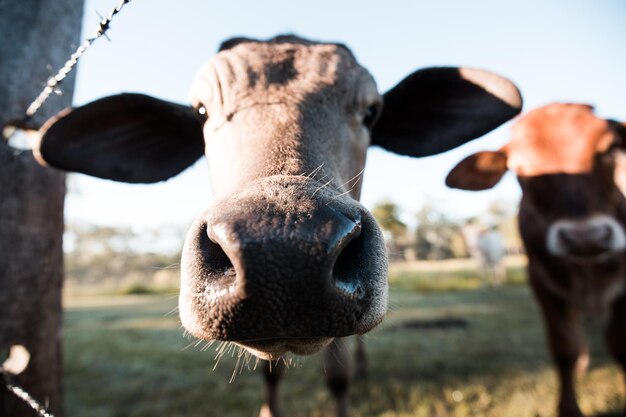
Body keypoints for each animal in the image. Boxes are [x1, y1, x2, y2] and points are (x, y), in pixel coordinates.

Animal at [444, 101, 624, 416]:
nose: (586, 237)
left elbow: (620, 345)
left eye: (610, 149)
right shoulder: (542, 281)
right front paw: (569, 407)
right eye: (520, 168)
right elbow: (564, 347)